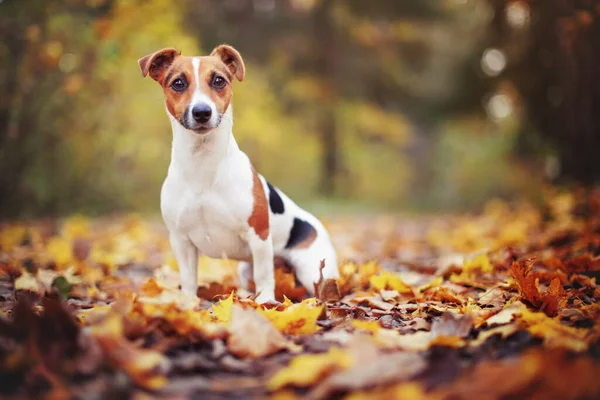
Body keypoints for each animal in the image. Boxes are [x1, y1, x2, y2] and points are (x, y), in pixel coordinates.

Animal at [138, 44, 340, 304]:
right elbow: (189, 278)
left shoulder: (259, 236)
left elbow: (265, 276)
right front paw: (188, 302)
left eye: (218, 80)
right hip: (246, 271)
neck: (202, 163)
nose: (202, 112)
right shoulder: (181, 240)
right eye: (178, 83)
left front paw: (265, 303)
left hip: (312, 270)